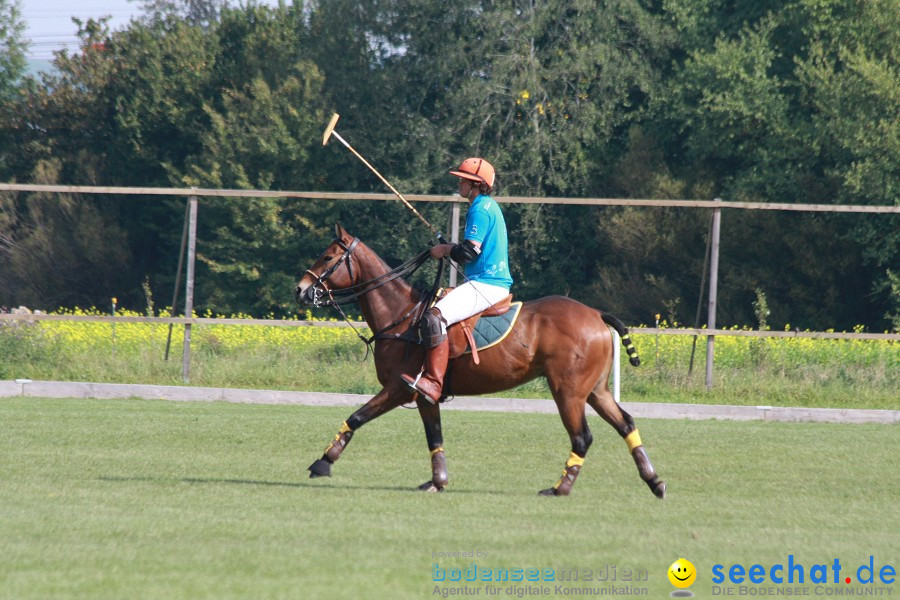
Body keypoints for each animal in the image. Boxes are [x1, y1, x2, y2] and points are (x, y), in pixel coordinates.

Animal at [294, 225, 660, 496]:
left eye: (328, 256)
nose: (300, 290)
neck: (400, 316)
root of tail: (598, 314)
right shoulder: (426, 394)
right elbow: (435, 437)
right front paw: (437, 482)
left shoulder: (401, 387)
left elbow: (357, 416)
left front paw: (322, 462)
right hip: (595, 389)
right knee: (626, 423)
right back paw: (654, 481)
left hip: (567, 390)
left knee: (582, 436)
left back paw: (559, 488)